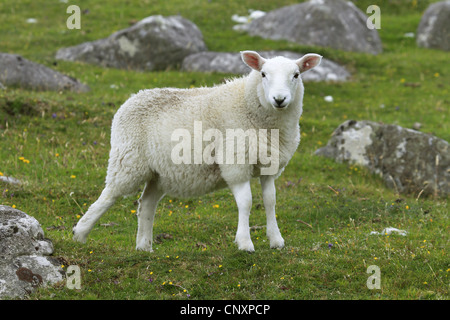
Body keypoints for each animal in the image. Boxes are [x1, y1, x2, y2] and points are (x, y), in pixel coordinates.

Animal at [73, 50, 320, 251]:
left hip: (159, 173)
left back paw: (144, 247)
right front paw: (245, 243)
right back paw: (80, 233)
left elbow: (270, 200)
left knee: (146, 204)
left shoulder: (269, 164)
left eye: (296, 75)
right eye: (263, 74)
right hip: (129, 160)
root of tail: (134, 97)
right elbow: (246, 202)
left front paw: (276, 240)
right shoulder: (235, 163)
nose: (279, 99)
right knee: (109, 195)